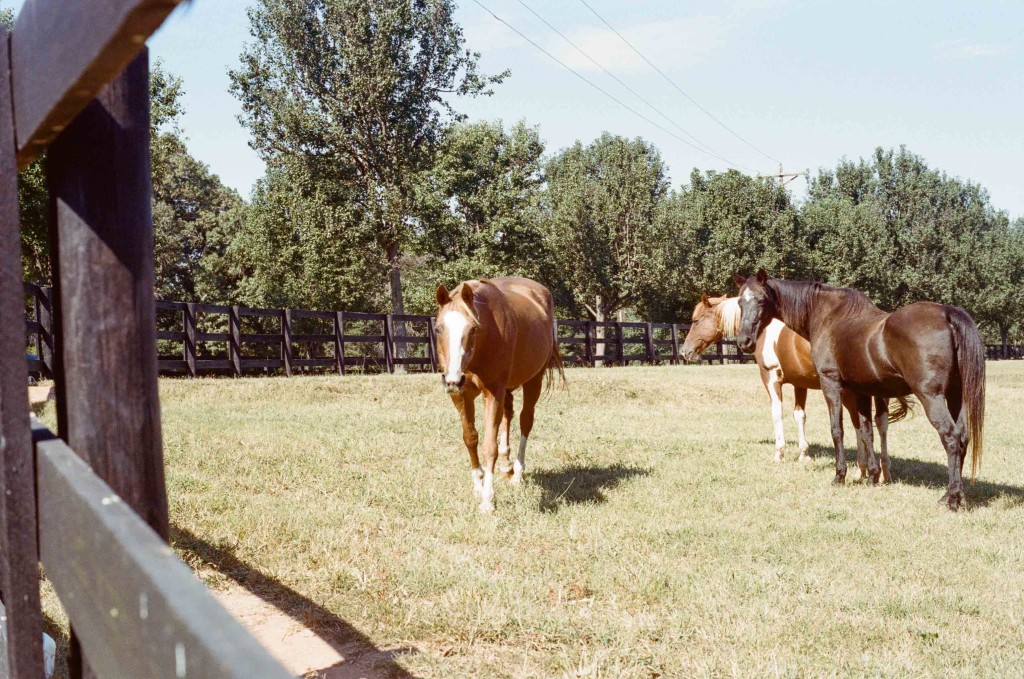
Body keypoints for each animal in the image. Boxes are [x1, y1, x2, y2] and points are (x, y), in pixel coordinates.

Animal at [430, 274, 565, 510]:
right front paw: (478, 485)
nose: (453, 379)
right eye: (438, 329)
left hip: (534, 380)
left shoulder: (493, 392)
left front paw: (487, 499)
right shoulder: (461, 396)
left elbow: (489, 446)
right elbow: (470, 438)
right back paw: (505, 465)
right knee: (508, 415)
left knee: (525, 420)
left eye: (473, 329)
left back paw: (517, 473)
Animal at [679, 292, 905, 473]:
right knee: (880, 423)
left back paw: (863, 469)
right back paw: (884, 469)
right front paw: (803, 454)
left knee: (861, 424)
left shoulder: (770, 378)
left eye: (696, 320)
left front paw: (779, 454)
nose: (684, 352)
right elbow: (800, 415)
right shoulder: (800, 383)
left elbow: (777, 413)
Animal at [737, 270, 983, 510]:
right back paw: (951, 495)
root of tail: (947, 314)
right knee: (963, 437)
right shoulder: (861, 390)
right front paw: (873, 476)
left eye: (761, 300)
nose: (744, 341)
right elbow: (866, 431)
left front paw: (839, 476)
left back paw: (952, 500)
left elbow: (837, 430)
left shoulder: (831, 383)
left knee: (951, 437)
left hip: (932, 397)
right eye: (740, 301)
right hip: (956, 395)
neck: (827, 316)